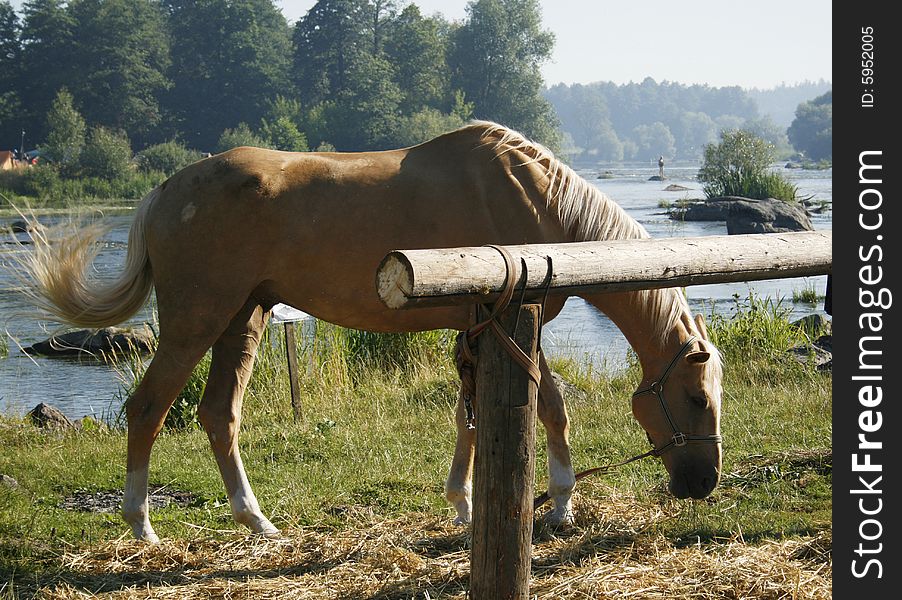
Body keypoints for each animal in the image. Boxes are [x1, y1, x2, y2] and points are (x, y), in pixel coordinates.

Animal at [19, 120, 728, 540]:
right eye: (695, 398)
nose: (704, 484)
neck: (536, 202)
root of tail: (165, 189)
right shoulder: (510, 322)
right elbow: (550, 407)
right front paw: (558, 503)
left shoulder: (476, 329)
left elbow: (470, 417)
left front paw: (463, 503)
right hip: (197, 321)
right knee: (148, 408)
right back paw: (141, 526)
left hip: (244, 320)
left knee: (218, 414)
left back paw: (257, 520)